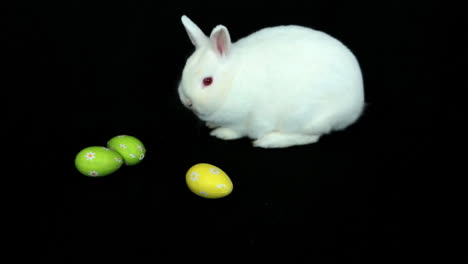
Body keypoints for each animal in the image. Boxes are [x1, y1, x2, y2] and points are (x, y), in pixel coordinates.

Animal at [177, 14, 364, 148]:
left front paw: (221, 133)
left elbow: (236, 130)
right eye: (185, 68)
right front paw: (210, 124)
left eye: (208, 81)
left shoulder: (245, 120)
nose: (187, 102)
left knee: (310, 137)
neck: (232, 82)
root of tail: (356, 105)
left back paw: (269, 141)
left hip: (308, 119)